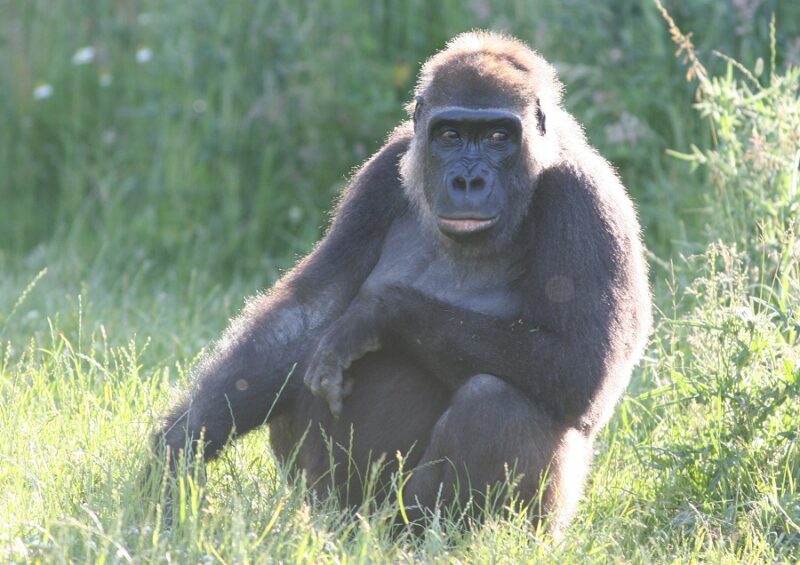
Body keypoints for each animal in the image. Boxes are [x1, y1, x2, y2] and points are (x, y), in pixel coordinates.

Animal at [154, 30, 651, 533]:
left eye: (499, 137)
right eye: (450, 135)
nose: (467, 181)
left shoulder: (585, 199)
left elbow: (580, 365)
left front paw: (378, 314)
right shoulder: (381, 173)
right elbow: (306, 314)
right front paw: (179, 449)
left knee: (495, 399)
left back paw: (443, 537)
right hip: (332, 505)